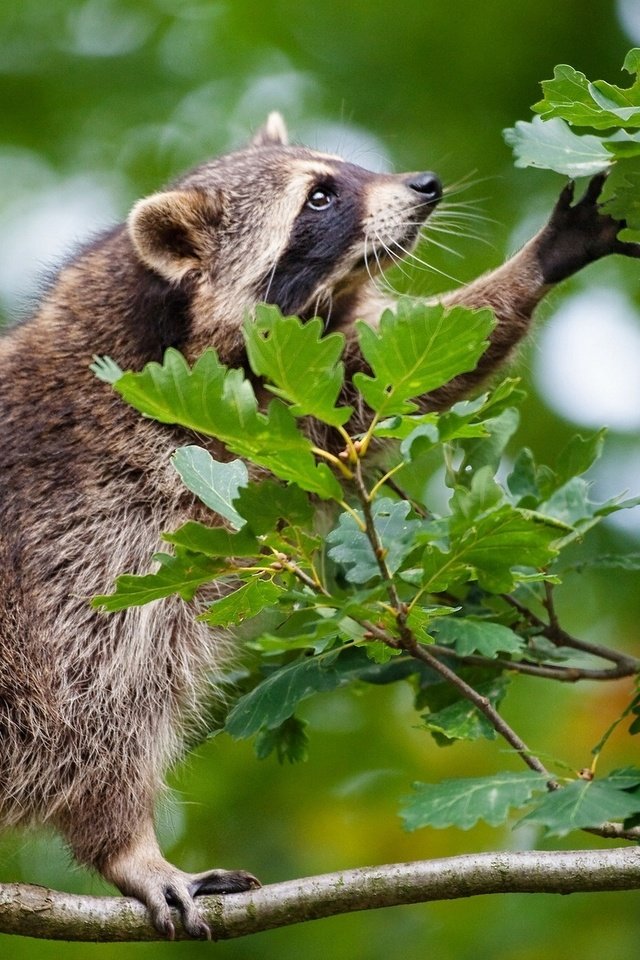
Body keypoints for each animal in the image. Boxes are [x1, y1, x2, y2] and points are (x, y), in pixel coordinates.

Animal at [0, 112, 636, 936]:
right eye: (320, 197)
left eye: (343, 169)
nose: (424, 185)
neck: (163, 323)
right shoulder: (96, 512)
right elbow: (89, 705)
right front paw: (123, 845)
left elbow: (398, 371)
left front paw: (539, 260)